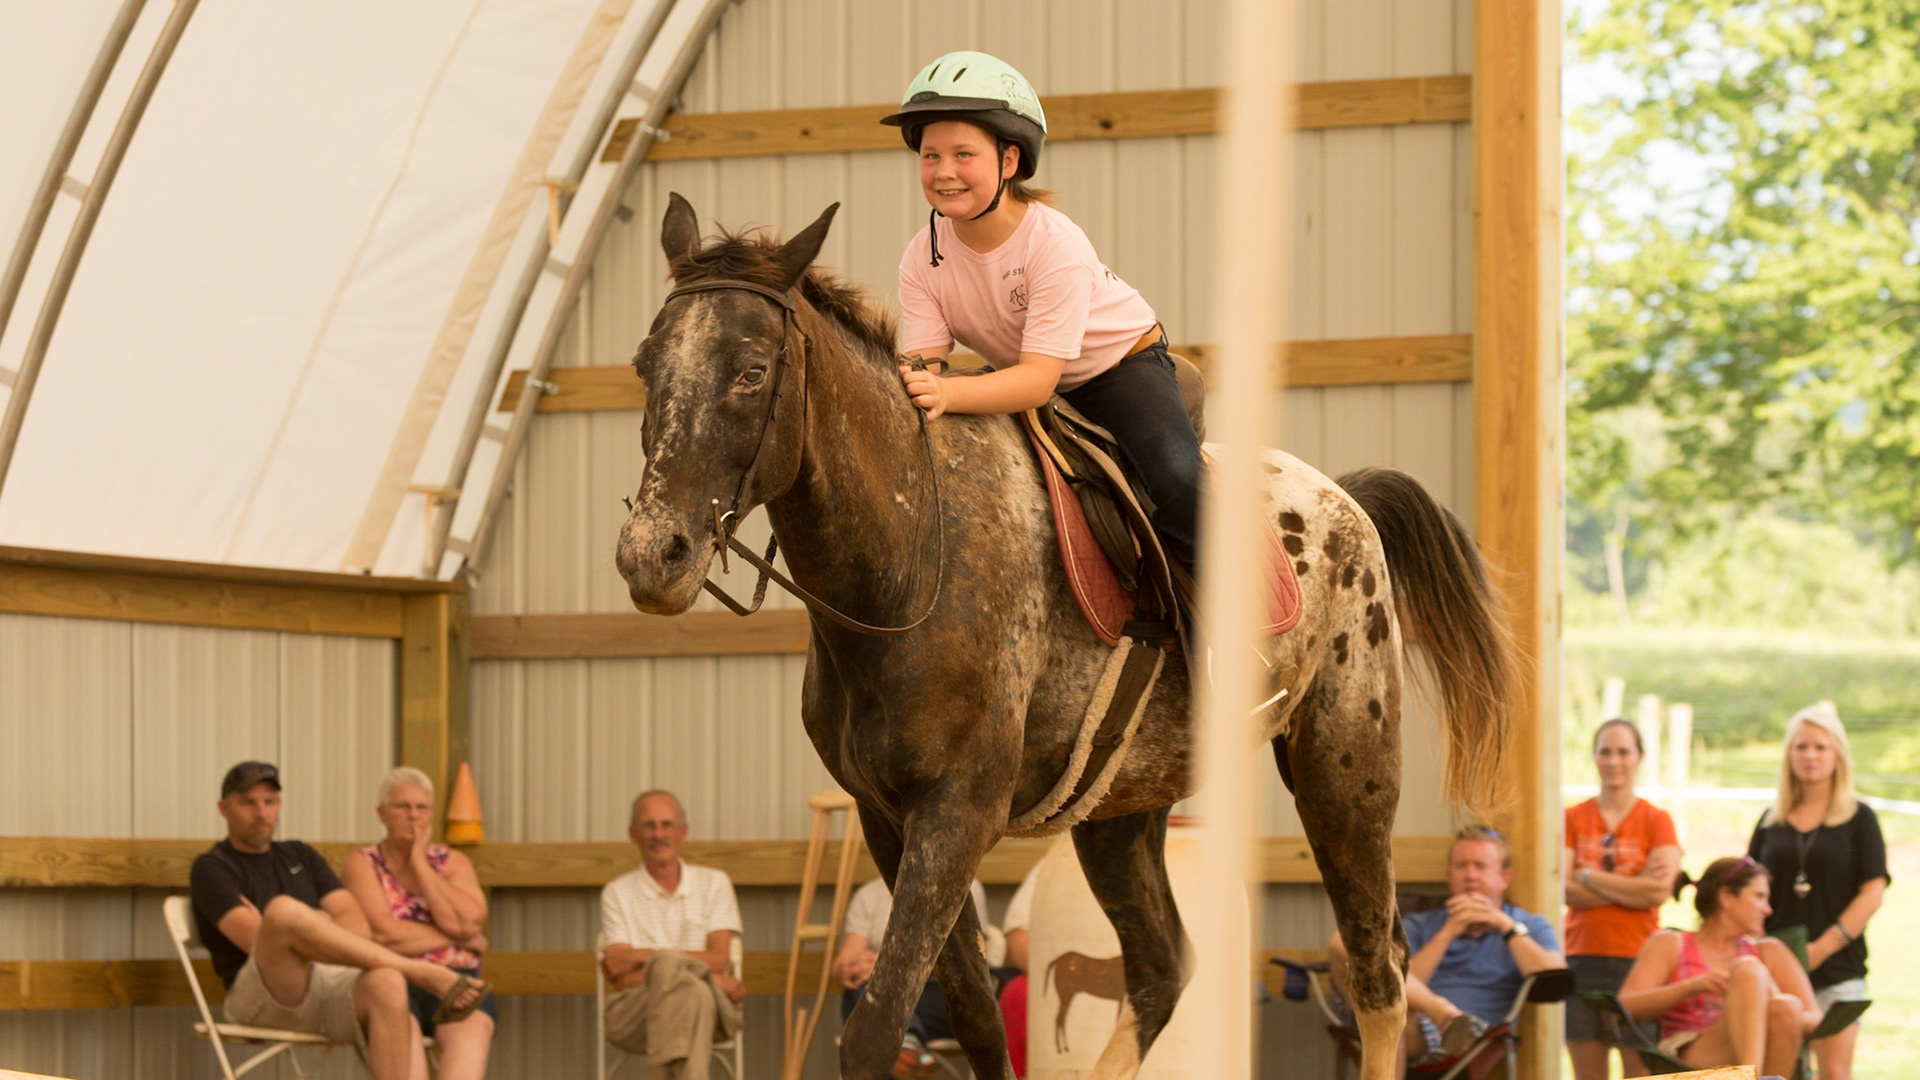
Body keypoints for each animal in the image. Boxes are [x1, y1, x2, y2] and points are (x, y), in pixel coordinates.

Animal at [615, 194, 1513, 1080]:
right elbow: (977, 1021)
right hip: (1122, 810)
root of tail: (1342, 501)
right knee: (1159, 969)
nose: (652, 555)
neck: (911, 552)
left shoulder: (957, 815)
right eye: (644, 366)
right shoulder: (887, 821)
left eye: (751, 372)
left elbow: (874, 1032)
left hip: (1345, 778)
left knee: (1378, 975)